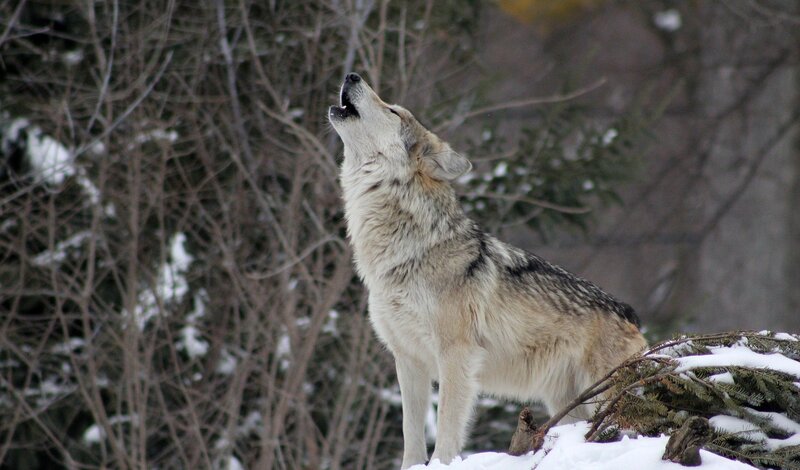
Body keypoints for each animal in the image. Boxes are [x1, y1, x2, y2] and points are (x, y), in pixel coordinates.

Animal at [328, 72, 648, 466]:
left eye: (393, 111)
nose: (352, 75)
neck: (406, 251)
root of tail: (631, 314)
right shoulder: (408, 360)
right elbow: (410, 435)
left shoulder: (456, 356)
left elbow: (446, 430)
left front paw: (441, 465)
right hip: (567, 405)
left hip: (604, 396)